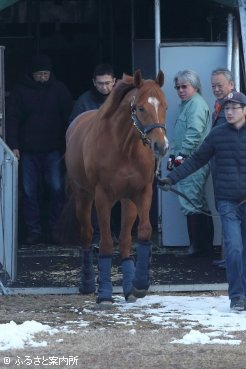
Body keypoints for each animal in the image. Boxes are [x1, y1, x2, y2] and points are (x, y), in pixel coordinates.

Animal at [65, 69, 169, 304]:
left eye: (165, 106)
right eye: (141, 108)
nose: (162, 146)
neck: (125, 148)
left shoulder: (141, 192)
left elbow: (142, 232)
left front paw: (138, 285)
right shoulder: (103, 197)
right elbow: (104, 242)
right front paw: (104, 293)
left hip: (126, 201)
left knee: (123, 239)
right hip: (83, 197)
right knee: (87, 235)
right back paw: (87, 283)